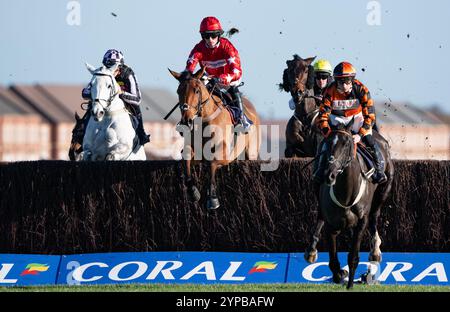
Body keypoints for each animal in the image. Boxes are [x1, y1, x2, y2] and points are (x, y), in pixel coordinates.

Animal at [169, 68, 260, 210]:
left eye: (196, 90)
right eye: (179, 91)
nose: (186, 121)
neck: (205, 121)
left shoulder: (224, 154)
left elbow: (212, 163)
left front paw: (212, 198)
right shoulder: (195, 153)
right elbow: (185, 160)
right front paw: (193, 192)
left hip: (251, 153)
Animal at [316, 120, 394, 288]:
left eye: (346, 144)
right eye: (327, 143)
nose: (329, 174)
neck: (346, 193)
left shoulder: (361, 222)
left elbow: (353, 256)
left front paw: (350, 284)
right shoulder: (331, 224)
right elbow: (333, 260)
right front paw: (340, 274)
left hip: (383, 192)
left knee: (374, 219)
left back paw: (375, 253)